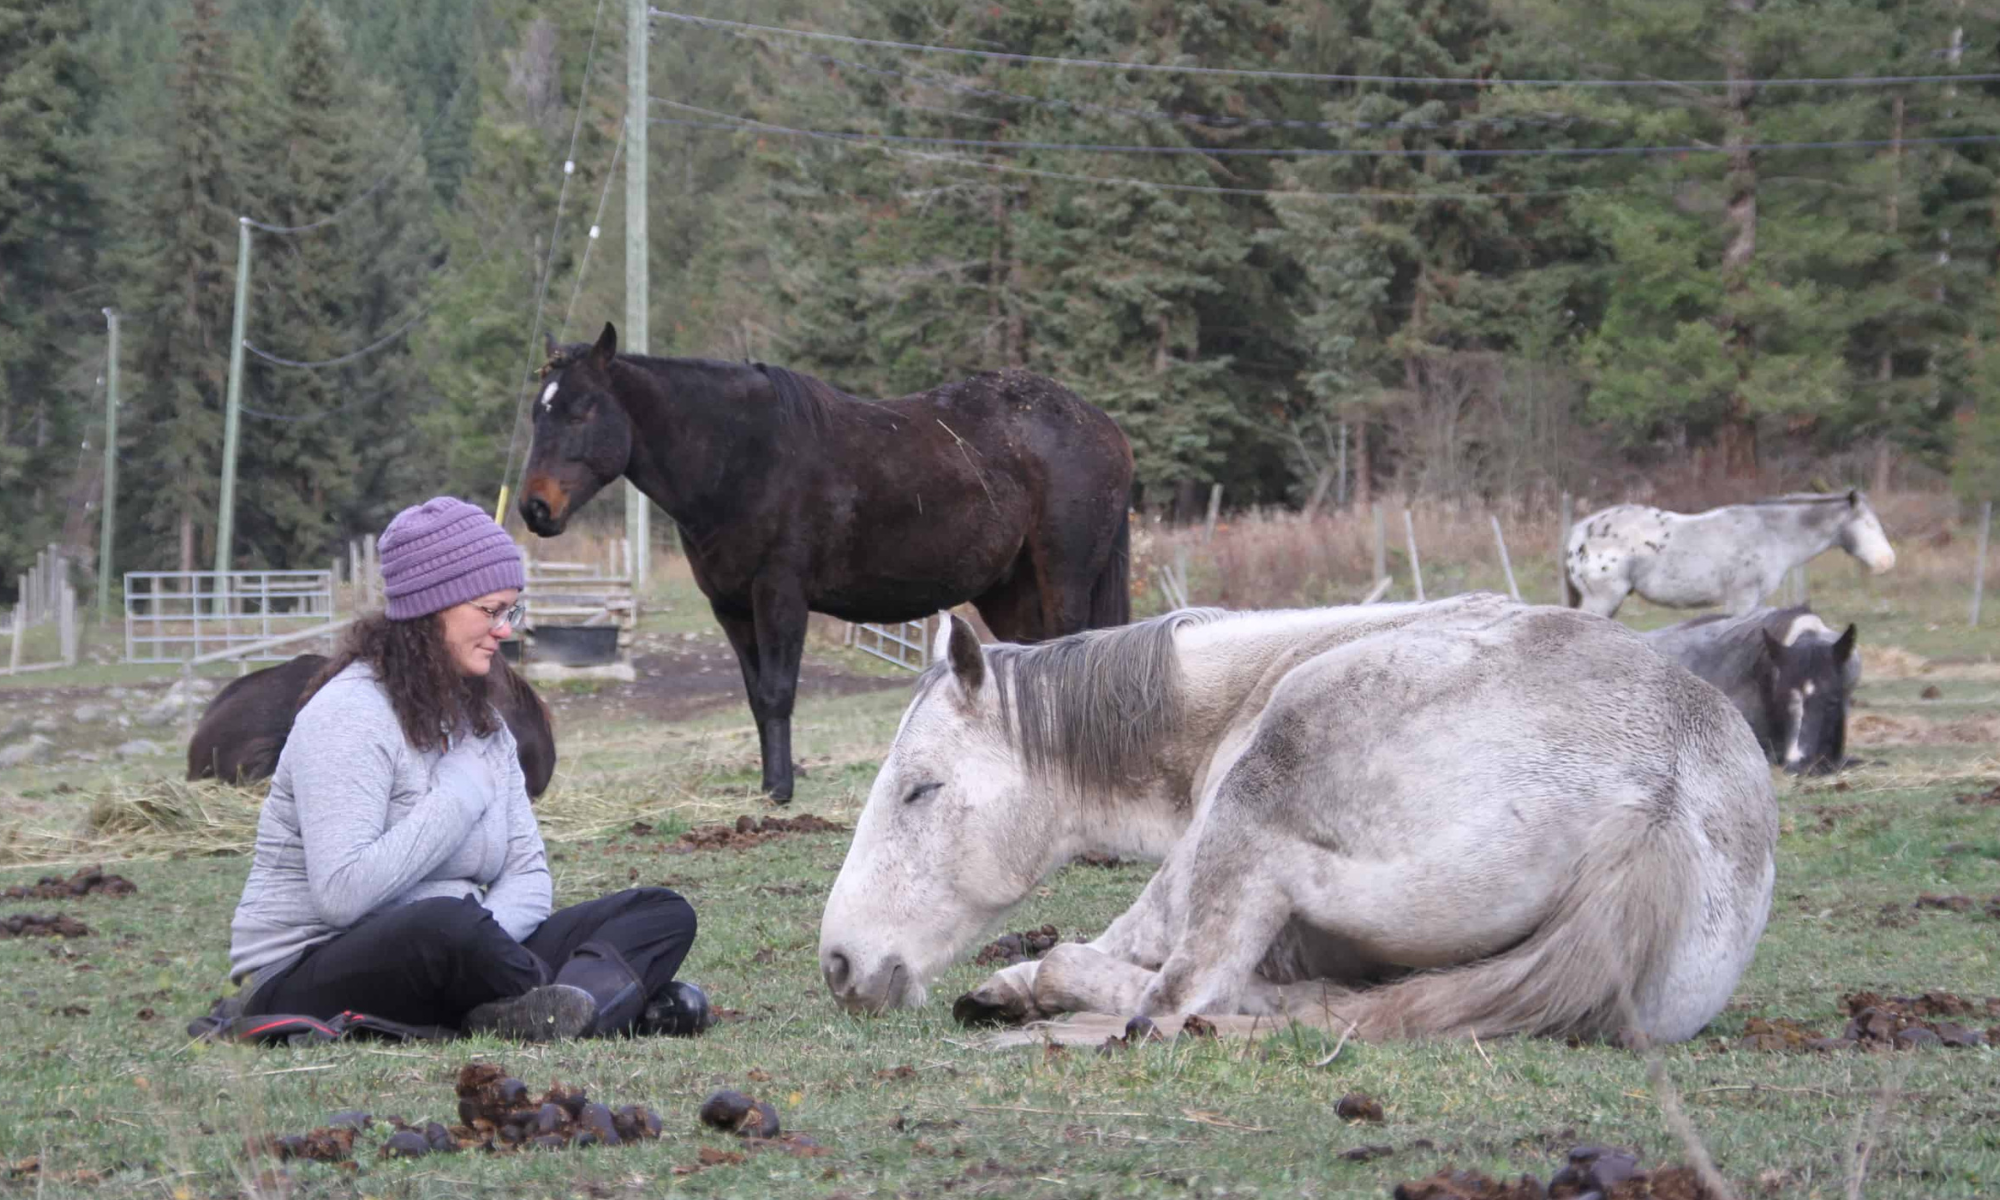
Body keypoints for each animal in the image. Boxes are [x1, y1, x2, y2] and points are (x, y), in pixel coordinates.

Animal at [520, 323, 1134, 802]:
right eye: (537, 413)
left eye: (581, 411)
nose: (534, 508)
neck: (742, 456)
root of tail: (1104, 427)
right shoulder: (730, 607)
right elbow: (756, 697)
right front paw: (770, 785)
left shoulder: (780, 594)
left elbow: (778, 692)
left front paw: (781, 790)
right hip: (1010, 592)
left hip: (1061, 578)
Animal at [818, 594, 1777, 1045]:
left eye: (919, 790)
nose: (841, 963)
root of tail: (1655, 796)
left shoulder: (1187, 873)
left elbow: (1119, 950)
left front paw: (1014, 985)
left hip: (1254, 826)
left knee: (1177, 1000)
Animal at [1563, 490, 1895, 618]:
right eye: (1868, 524)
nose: (1887, 562)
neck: (1770, 532)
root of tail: (1580, 530)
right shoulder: (1742, 600)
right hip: (1602, 601)